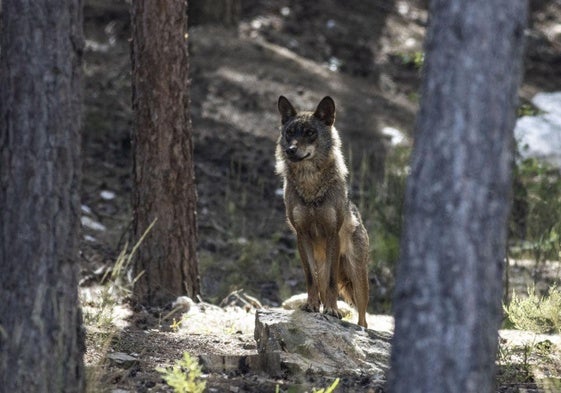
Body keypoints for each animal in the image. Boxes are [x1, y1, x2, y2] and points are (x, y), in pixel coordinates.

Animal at [274, 95, 370, 328]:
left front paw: (332, 310)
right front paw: (311, 305)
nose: (290, 150)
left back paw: (357, 326)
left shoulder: (332, 234)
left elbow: (332, 283)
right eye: (290, 132)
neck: (311, 187)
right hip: (323, 261)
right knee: (321, 281)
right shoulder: (302, 236)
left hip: (358, 277)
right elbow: (311, 278)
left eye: (310, 132)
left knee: (362, 316)